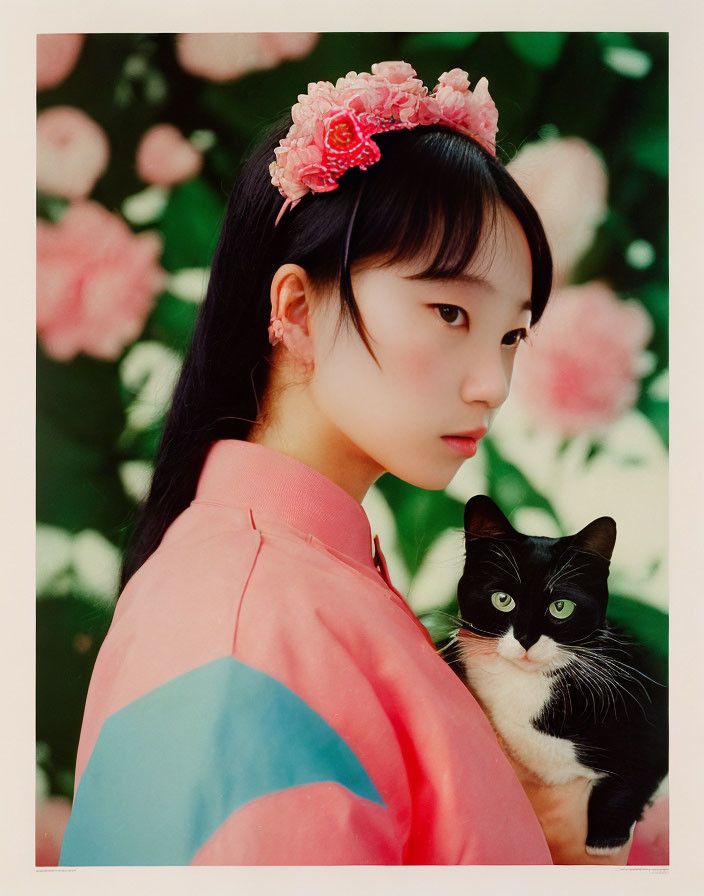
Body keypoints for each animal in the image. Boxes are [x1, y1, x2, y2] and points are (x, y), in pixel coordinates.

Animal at [448, 496, 668, 856]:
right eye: (503, 599)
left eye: (561, 607)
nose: (526, 638)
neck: (527, 685)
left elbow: (636, 770)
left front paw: (605, 841)